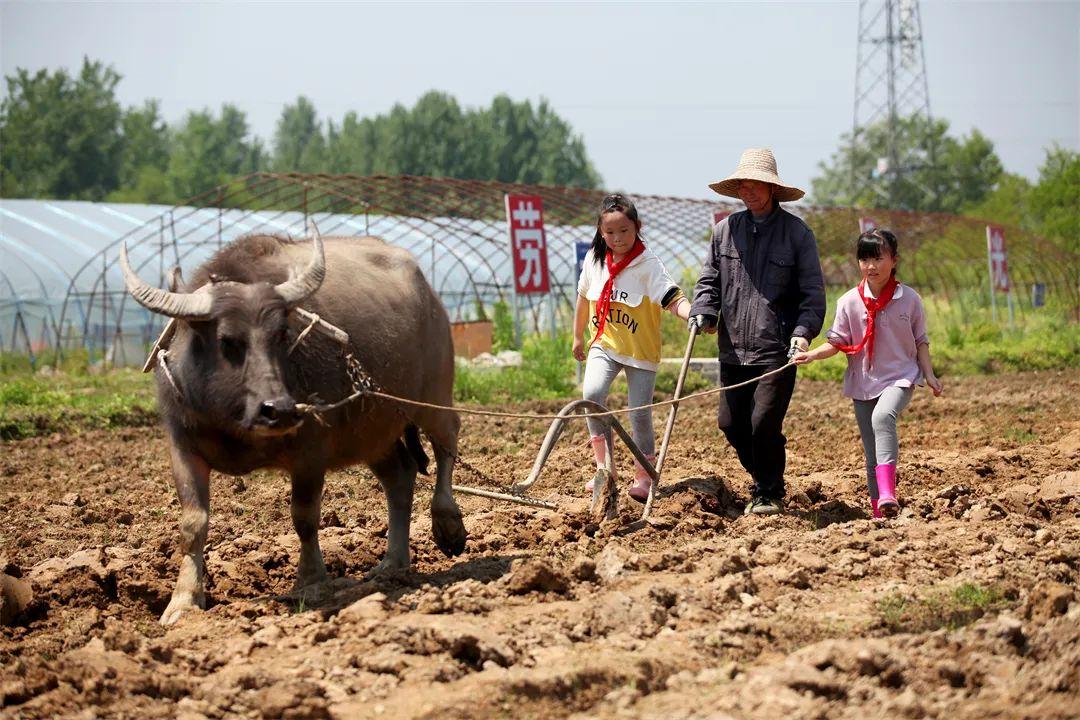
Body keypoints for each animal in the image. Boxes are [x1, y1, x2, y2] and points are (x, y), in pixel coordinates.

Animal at [120, 231, 466, 626]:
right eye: (227, 341)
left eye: (282, 335)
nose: (280, 411)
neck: (236, 421)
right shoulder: (183, 447)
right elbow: (193, 525)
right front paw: (183, 601)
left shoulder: (310, 453)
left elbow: (304, 517)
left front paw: (311, 583)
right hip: (373, 431)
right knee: (400, 476)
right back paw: (392, 563)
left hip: (433, 395)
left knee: (447, 440)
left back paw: (448, 524)